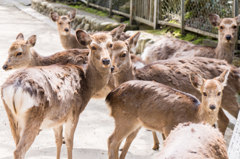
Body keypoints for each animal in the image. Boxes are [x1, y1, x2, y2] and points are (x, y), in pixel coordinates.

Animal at [0, 24, 124, 158]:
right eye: (93, 46)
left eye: (111, 45)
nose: (106, 61)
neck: (87, 84)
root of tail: (14, 89)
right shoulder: (74, 113)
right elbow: (69, 142)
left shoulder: (57, 117)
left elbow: (58, 141)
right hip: (33, 116)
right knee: (19, 150)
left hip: (12, 116)